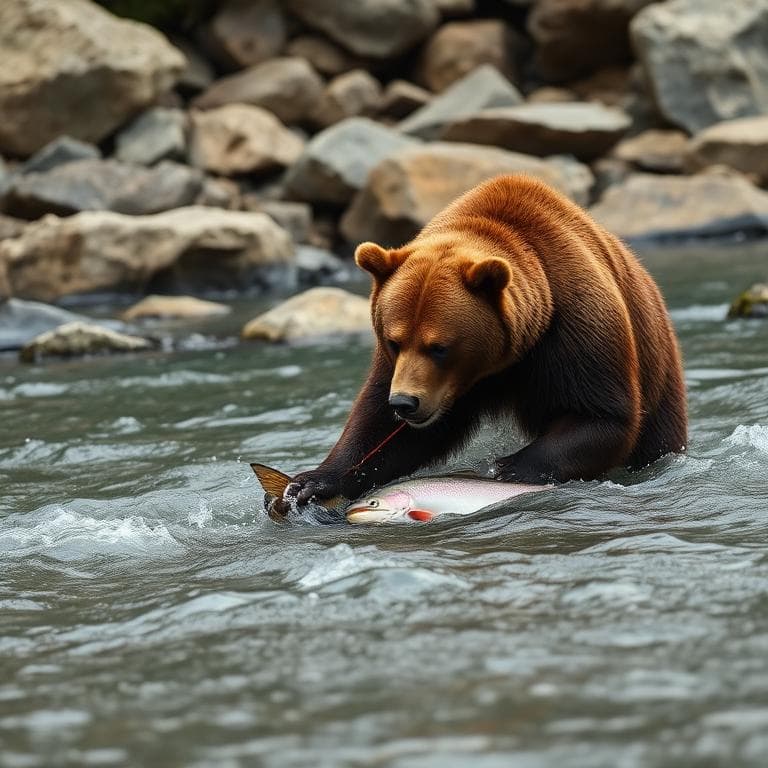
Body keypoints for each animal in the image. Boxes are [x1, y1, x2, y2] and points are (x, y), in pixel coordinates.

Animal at [283, 174, 687, 506]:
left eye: (439, 347)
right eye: (395, 341)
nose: (406, 403)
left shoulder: (573, 324)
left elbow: (602, 414)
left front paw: (509, 468)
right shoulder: (406, 373)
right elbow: (385, 429)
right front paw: (311, 481)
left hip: (658, 369)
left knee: (656, 437)